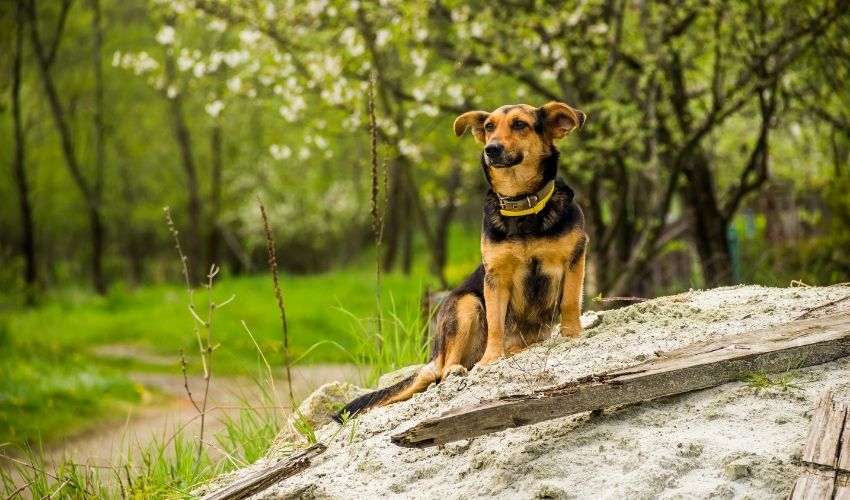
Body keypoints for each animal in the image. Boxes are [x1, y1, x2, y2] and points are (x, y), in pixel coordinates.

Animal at [334, 101, 588, 422]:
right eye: (490, 126)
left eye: (520, 124)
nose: (491, 149)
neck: (523, 204)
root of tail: (435, 357)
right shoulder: (495, 278)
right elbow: (496, 323)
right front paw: (491, 360)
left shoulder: (574, 259)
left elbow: (570, 303)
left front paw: (572, 334)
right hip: (465, 305)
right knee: (444, 371)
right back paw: (459, 368)